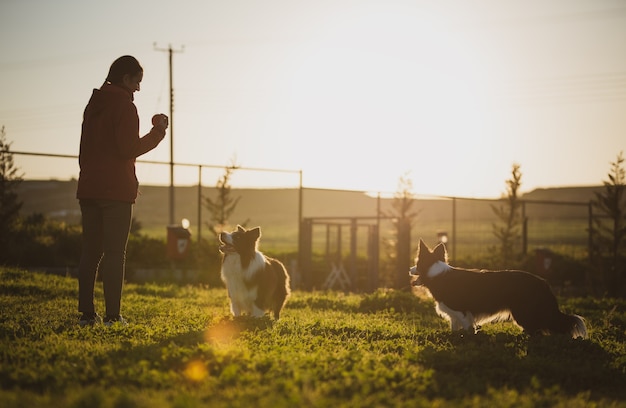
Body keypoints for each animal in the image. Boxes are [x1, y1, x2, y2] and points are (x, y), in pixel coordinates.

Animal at [410, 239, 584, 338]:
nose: (409, 269)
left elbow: (467, 329)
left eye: (417, 263)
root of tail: (543, 283)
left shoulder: (462, 312)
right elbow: (455, 328)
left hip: (522, 312)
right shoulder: (455, 315)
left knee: (538, 330)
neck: (435, 273)